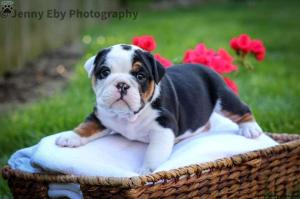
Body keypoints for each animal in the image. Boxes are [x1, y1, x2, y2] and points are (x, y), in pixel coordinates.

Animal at [55, 44, 262, 175]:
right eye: (104, 72)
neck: (128, 116)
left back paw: (251, 128)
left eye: (140, 76)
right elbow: (87, 125)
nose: (121, 84)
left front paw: (146, 169)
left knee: (242, 109)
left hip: (222, 97)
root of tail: (208, 69)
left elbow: (154, 152)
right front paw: (70, 137)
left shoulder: (163, 128)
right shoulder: (100, 115)